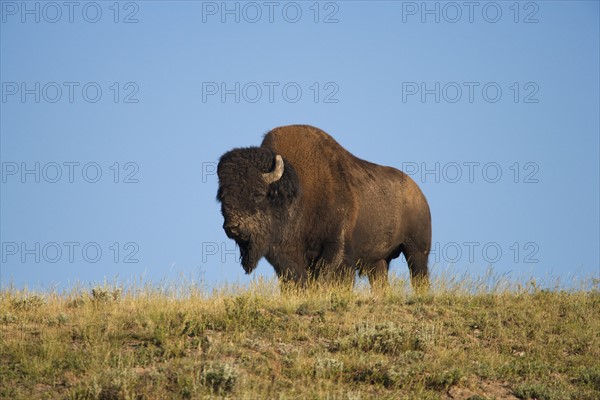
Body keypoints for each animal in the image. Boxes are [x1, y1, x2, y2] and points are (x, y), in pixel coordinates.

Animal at [216, 123, 432, 290]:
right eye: (221, 197)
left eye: (258, 193)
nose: (232, 227)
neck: (297, 191)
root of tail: (418, 193)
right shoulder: (285, 256)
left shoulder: (336, 248)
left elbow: (329, 275)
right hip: (378, 261)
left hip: (416, 250)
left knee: (419, 275)